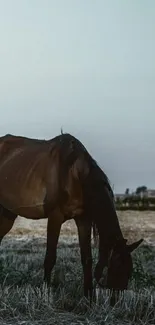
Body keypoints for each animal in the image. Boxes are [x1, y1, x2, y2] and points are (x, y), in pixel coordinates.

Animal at [0, 130, 143, 302]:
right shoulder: (55, 217)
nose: (115, 300)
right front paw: (46, 292)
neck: (73, 173)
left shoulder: (83, 219)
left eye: (129, 271)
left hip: (7, 214)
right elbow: (50, 258)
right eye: (116, 267)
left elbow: (87, 258)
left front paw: (89, 297)